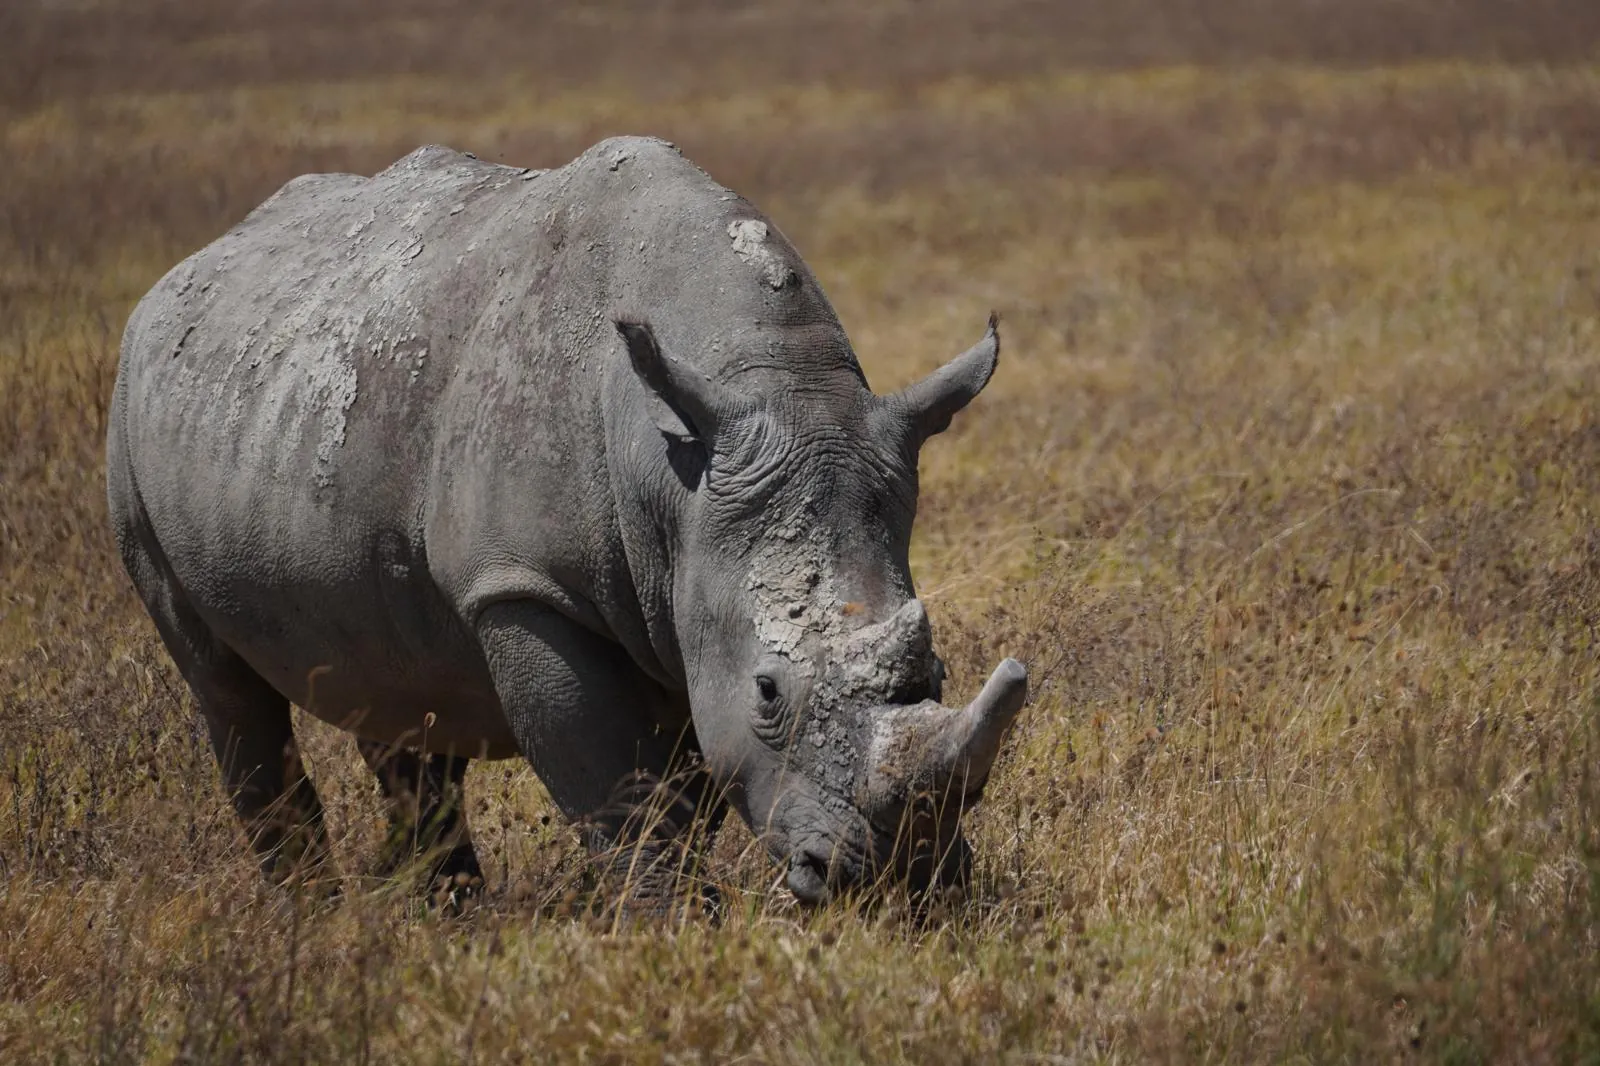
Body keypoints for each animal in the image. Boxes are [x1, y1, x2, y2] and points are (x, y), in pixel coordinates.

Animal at [106, 136, 1027, 906]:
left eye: (939, 669)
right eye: (768, 692)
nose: (905, 877)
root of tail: (180, 275)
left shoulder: (679, 590)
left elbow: (683, 789)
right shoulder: (523, 586)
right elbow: (618, 793)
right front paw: (667, 928)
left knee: (394, 686)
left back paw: (447, 918)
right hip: (133, 423)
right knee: (225, 688)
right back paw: (314, 920)